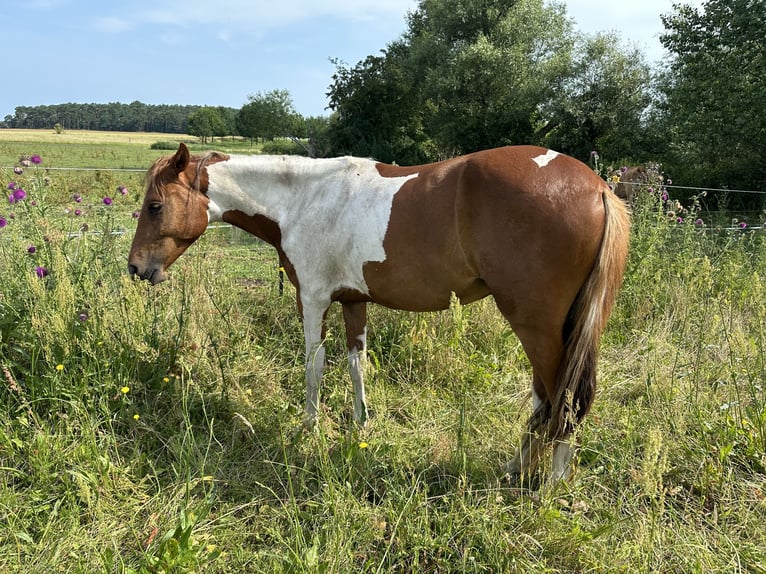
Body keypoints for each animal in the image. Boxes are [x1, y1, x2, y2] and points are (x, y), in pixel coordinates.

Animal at [130, 144, 632, 486]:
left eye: (155, 206)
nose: (136, 268)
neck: (303, 199)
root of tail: (596, 187)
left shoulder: (313, 299)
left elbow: (314, 366)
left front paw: (308, 429)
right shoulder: (353, 301)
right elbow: (357, 364)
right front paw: (360, 424)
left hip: (537, 327)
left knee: (564, 399)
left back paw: (549, 486)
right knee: (546, 401)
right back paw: (515, 470)